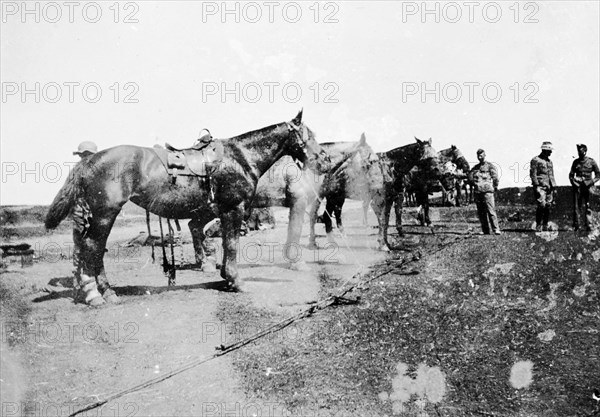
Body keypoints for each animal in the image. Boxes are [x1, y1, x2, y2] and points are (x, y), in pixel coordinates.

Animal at [44, 109, 330, 306]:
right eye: (310, 135)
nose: (325, 159)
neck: (240, 158)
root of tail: (91, 160)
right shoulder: (233, 209)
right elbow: (232, 244)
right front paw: (236, 280)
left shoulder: (224, 212)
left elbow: (224, 243)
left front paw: (225, 276)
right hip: (105, 213)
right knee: (93, 248)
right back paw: (98, 293)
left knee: (91, 248)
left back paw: (100, 291)